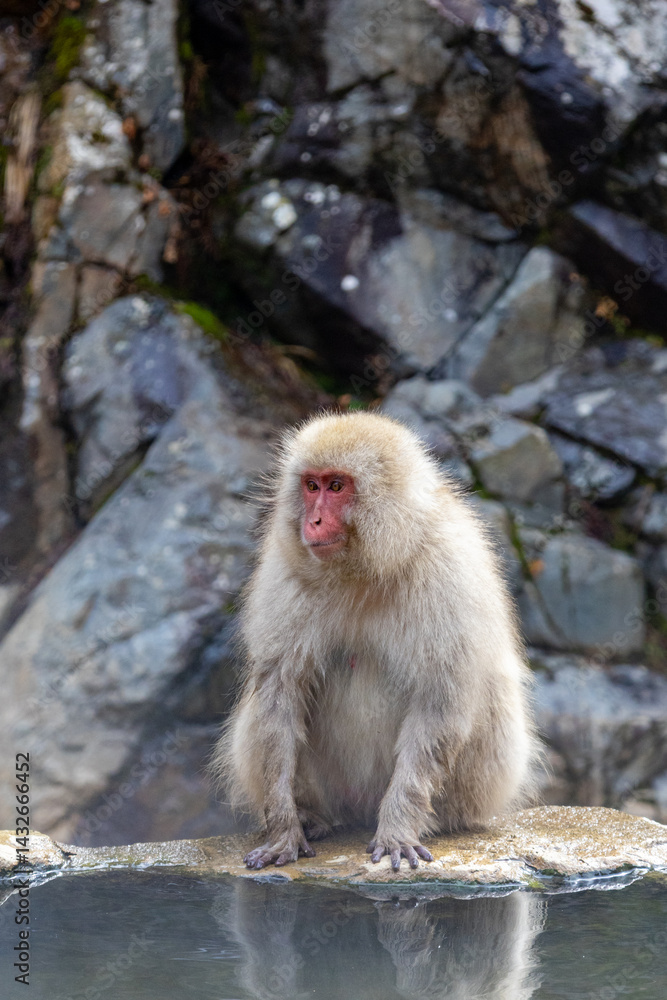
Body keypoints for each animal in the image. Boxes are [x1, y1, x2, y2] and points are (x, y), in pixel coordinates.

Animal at [212, 411, 539, 871]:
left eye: (337, 486)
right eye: (311, 485)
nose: (312, 521)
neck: (368, 566)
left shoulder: (450, 572)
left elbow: (440, 701)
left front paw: (399, 827)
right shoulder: (284, 570)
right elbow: (280, 693)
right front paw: (284, 828)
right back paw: (314, 817)